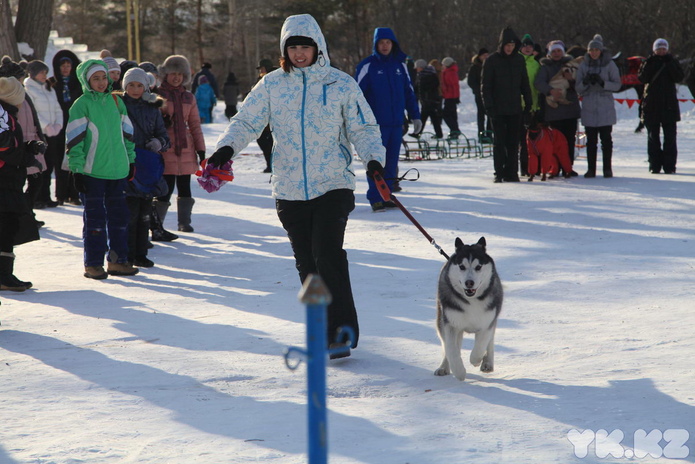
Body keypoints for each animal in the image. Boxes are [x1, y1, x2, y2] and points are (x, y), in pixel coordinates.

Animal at [432, 237, 502, 382]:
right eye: (462, 266)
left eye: (478, 267)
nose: (469, 282)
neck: (471, 301)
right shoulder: (451, 324)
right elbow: (451, 350)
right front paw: (459, 372)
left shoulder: (487, 322)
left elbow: (481, 344)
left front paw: (476, 360)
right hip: (441, 319)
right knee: (446, 345)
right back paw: (443, 367)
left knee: (490, 341)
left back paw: (487, 362)